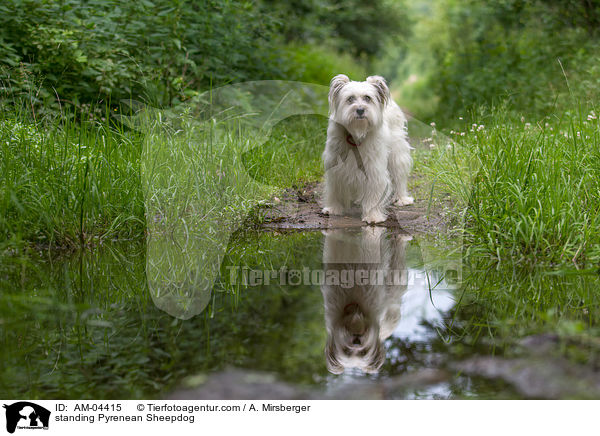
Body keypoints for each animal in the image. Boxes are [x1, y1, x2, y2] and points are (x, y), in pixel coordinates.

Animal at [322, 75, 414, 223]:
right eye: (350, 99)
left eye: (367, 98)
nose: (360, 110)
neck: (357, 134)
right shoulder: (336, 167)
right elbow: (335, 189)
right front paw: (334, 208)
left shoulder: (373, 169)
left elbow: (374, 193)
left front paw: (373, 216)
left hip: (397, 154)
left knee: (399, 177)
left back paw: (402, 199)